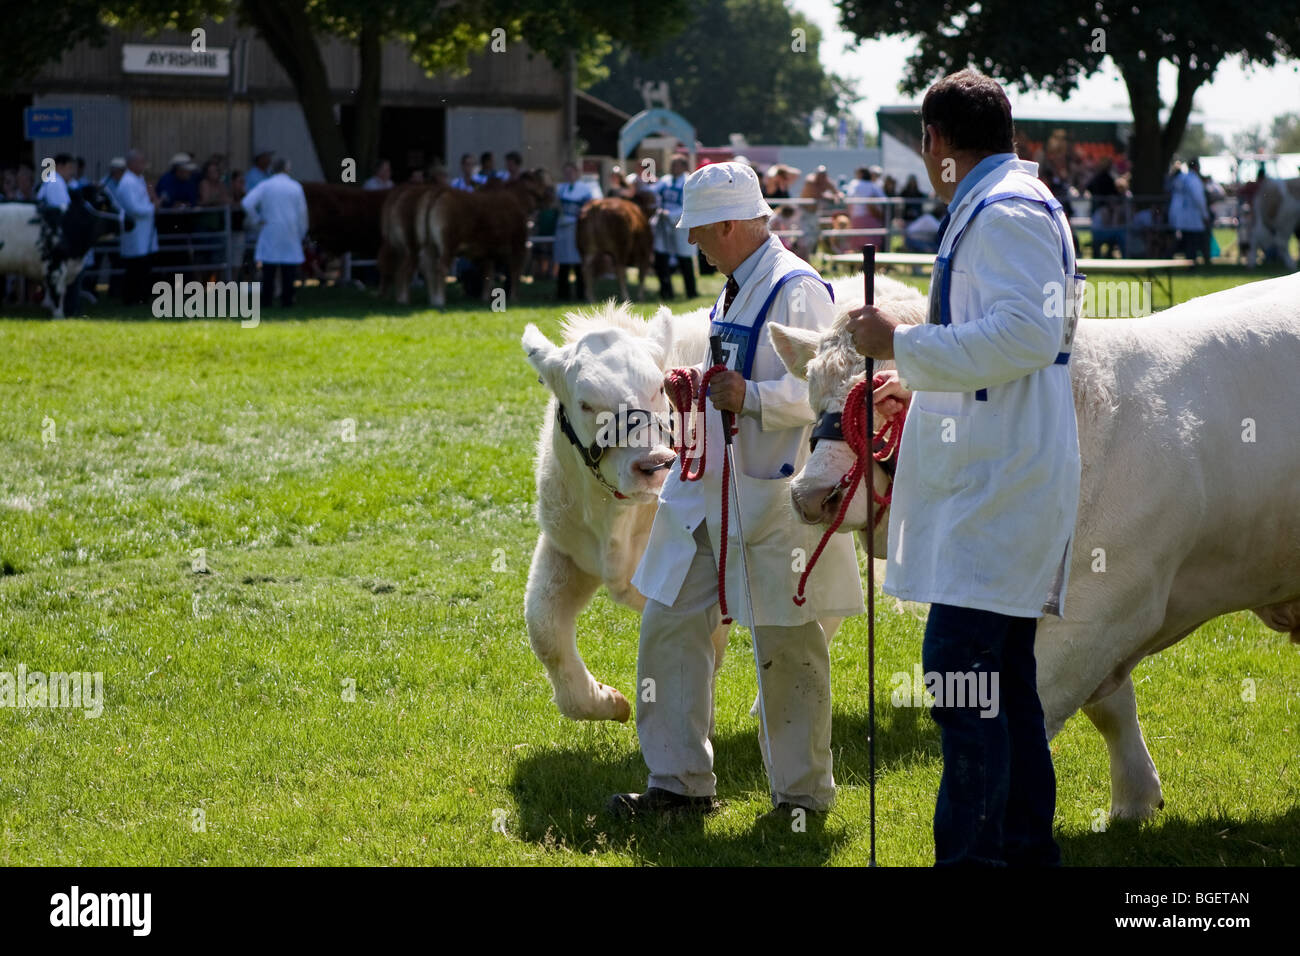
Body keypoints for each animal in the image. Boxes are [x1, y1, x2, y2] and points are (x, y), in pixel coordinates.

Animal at [421, 169, 553, 306]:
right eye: (544, 184)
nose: (551, 199)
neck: (517, 198)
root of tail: (438, 193)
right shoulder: (519, 245)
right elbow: (514, 273)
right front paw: (514, 298)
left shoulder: (488, 252)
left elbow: (487, 275)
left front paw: (484, 298)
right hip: (448, 244)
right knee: (441, 268)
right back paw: (439, 300)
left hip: (429, 246)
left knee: (428, 269)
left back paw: (432, 299)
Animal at [764, 270, 1300, 822]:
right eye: (813, 393)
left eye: (892, 396)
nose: (812, 496)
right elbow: (1109, 707)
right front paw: (1135, 798)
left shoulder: (1106, 607)